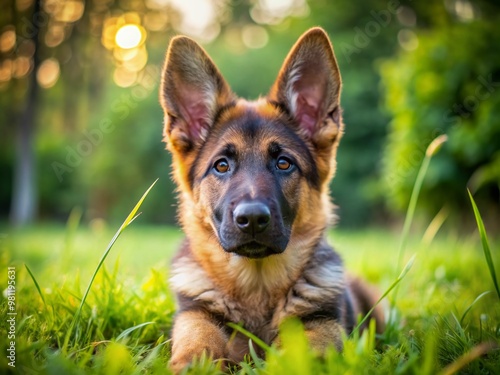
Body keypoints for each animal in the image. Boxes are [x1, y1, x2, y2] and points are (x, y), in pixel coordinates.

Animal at [160, 27, 382, 374]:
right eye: (221, 165)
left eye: (283, 163)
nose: (251, 218)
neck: (257, 287)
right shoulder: (196, 318)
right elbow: (197, 349)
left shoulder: (319, 328)